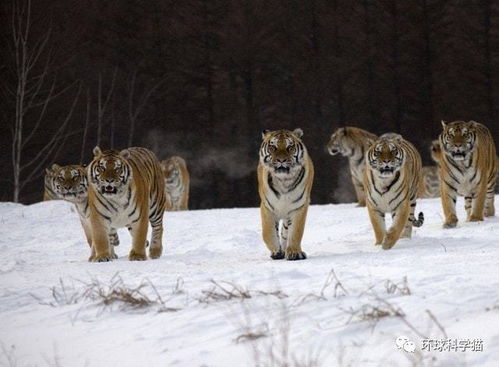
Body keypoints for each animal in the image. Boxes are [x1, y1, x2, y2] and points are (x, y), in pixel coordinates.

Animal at [260, 129, 314, 262]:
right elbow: (268, 232)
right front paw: (276, 251)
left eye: (290, 147)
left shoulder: (299, 207)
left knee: (285, 233)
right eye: (272, 147)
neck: (283, 180)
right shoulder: (267, 207)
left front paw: (294, 253)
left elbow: (295, 232)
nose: (281, 160)